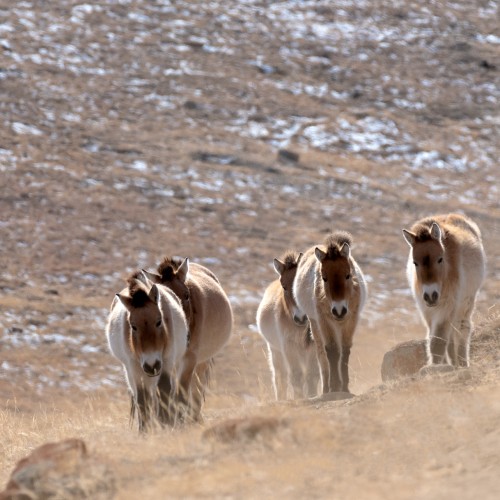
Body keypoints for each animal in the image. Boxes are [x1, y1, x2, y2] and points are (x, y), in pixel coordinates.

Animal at [106, 272, 188, 432]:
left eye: (159, 321)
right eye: (133, 326)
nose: (152, 365)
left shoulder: (167, 362)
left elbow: (164, 391)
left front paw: (166, 424)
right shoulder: (135, 368)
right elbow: (142, 399)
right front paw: (145, 431)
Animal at [143, 258, 232, 422]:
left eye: (186, 295)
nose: (185, 336)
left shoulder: (189, 359)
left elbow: (182, 391)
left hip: (202, 361)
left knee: (197, 386)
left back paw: (193, 416)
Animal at [256, 252, 318, 400]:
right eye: (284, 286)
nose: (300, 318)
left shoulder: (313, 345)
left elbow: (312, 375)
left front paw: (312, 396)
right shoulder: (289, 346)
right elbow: (296, 375)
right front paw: (299, 398)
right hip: (276, 351)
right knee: (280, 378)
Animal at [292, 233, 368, 394]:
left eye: (348, 275)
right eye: (324, 278)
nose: (339, 310)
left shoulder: (351, 321)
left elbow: (344, 351)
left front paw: (344, 386)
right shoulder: (324, 322)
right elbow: (332, 351)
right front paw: (334, 385)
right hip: (316, 325)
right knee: (322, 354)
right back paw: (326, 387)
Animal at [404, 212, 486, 368]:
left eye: (440, 259)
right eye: (415, 263)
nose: (430, 295)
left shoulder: (446, 307)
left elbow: (438, 341)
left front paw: (435, 368)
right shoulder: (427, 311)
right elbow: (434, 339)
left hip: (465, 304)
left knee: (463, 329)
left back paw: (462, 363)